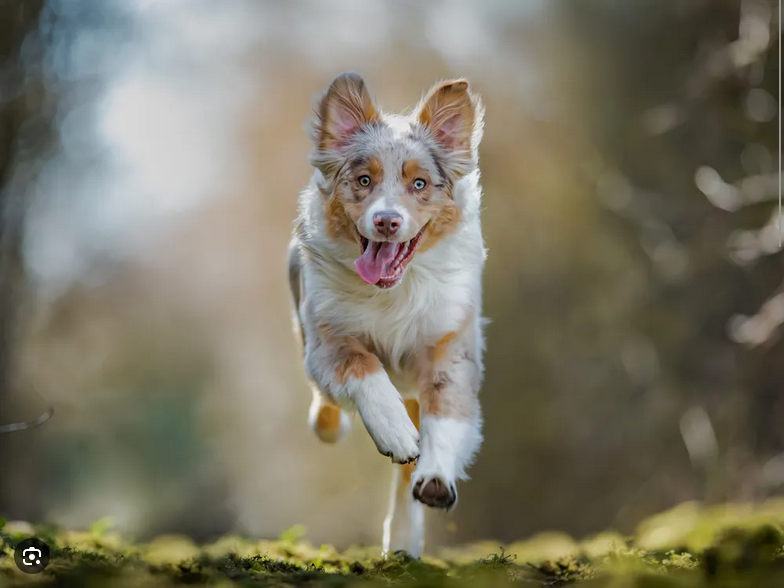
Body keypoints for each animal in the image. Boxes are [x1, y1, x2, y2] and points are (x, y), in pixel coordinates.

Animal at [288, 73, 484, 556]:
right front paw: (393, 431)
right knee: (327, 408)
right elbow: (362, 366)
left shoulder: (452, 347)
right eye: (363, 180)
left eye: (420, 184)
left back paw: (402, 539)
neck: (394, 292)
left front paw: (435, 476)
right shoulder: (326, 340)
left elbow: (446, 414)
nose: (387, 222)